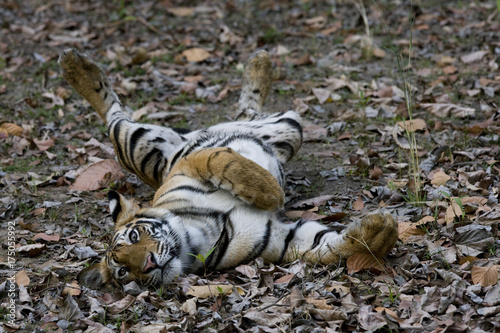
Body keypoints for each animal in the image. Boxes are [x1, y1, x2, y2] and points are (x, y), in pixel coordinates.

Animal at [57, 48, 398, 286]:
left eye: (133, 236)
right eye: (123, 272)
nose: (148, 265)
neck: (196, 238)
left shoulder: (189, 164)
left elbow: (224, 162)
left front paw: (269, 192)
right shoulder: (284, 239)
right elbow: (330, 248)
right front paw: (380, 230)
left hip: (147, 143)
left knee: (113, 113)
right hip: (281, 129)